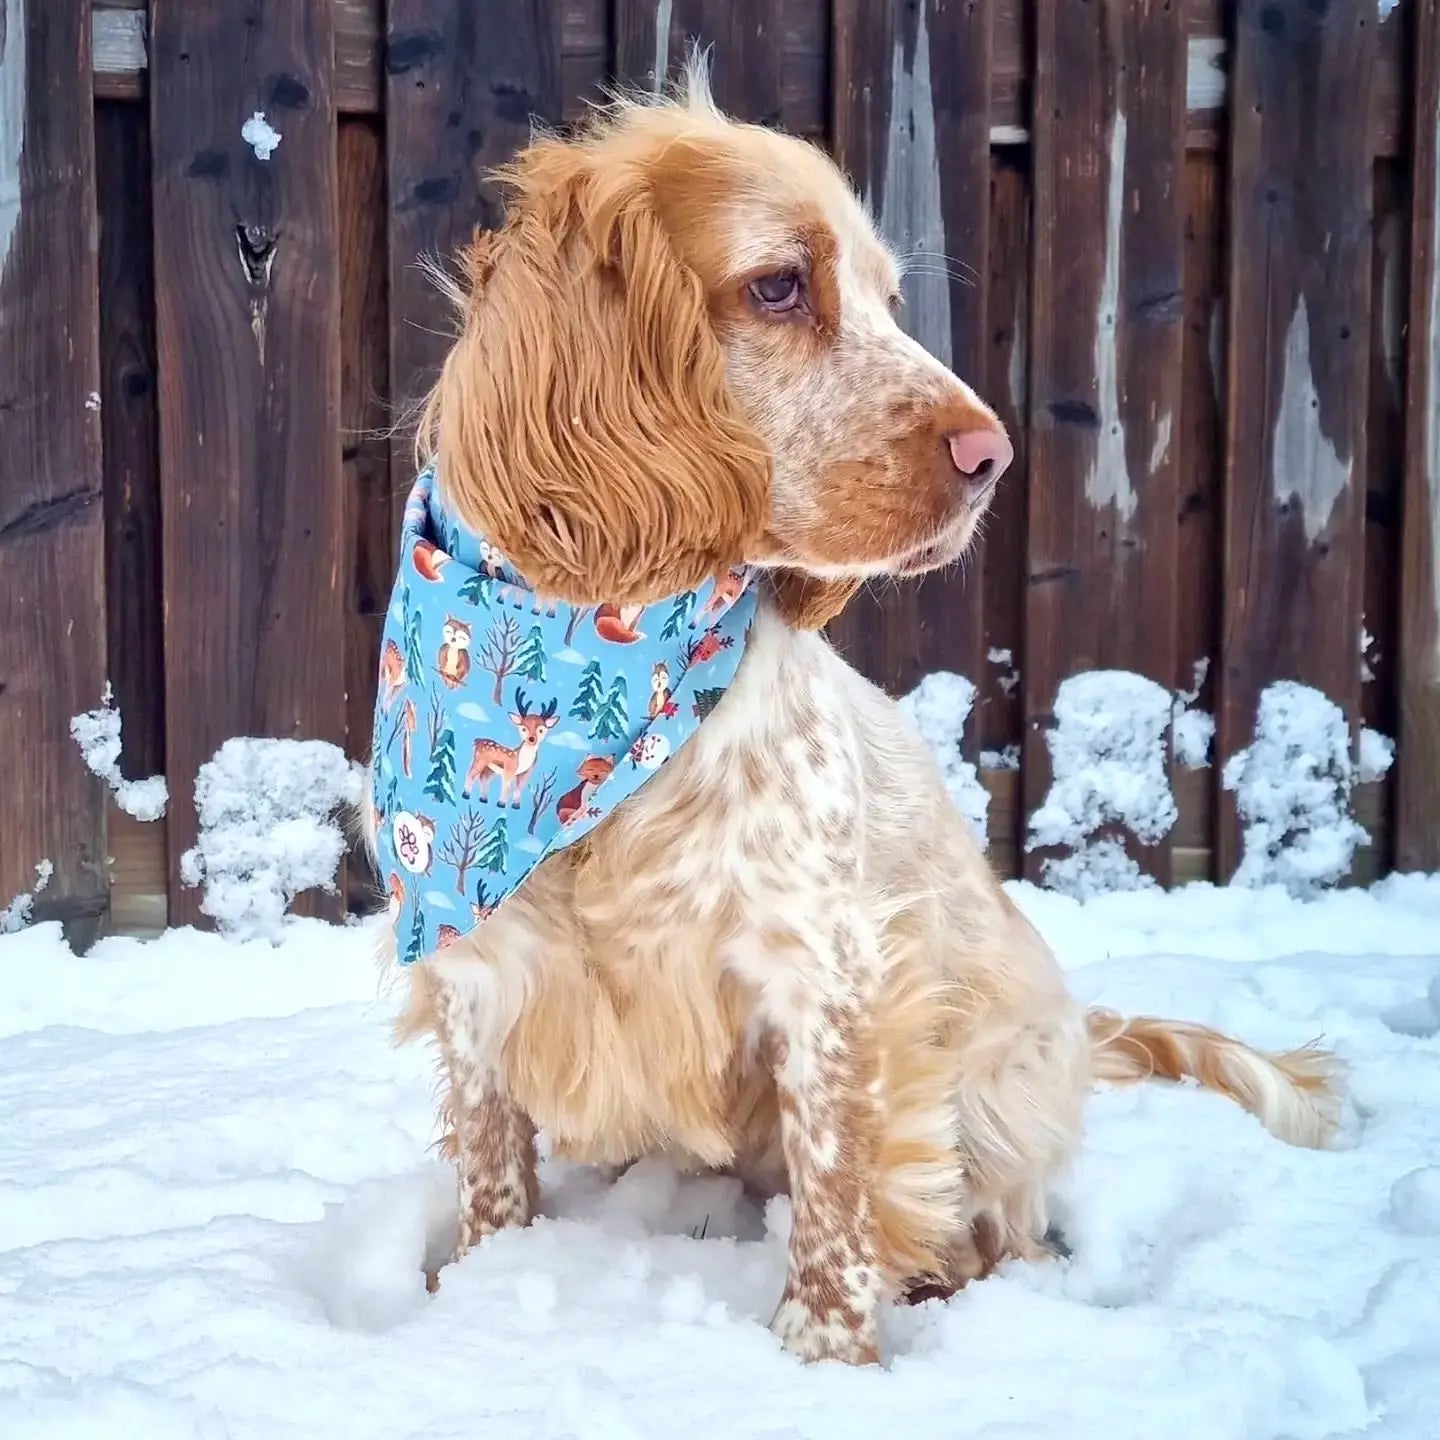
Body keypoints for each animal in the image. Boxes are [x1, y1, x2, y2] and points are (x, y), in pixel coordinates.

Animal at [360, 67, 1336, 1365]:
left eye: (887, 299)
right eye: (780, 284)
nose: (992, 455)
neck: (587, 650)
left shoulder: (827, 975)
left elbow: (839, 1192)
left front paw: (821, 1360)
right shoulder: (477, 965)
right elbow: (489, 1166)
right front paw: (483, 1291)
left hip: (994, 1072)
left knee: (1002, 1228)